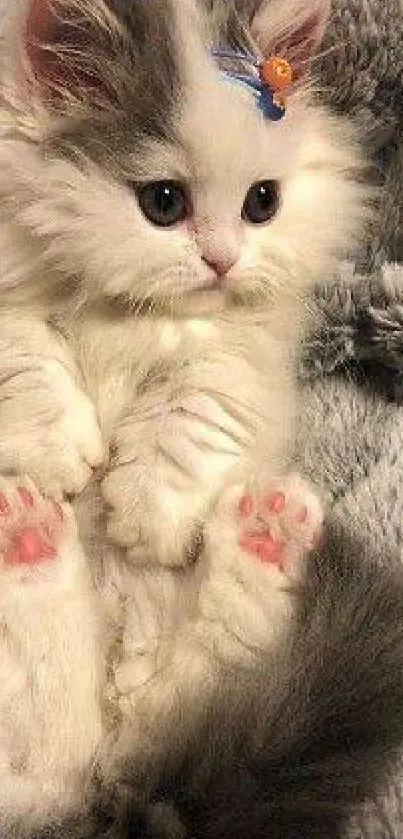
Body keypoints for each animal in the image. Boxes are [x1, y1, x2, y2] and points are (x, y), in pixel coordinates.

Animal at [0, 0, 368, 832]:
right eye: (163, 202)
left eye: (262, 202)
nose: (224, 260)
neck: (120, 305)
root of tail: (116, 788)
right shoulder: (9, 298)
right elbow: (28, 356)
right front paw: (56, 456)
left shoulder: (244, 345)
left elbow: (194, 401)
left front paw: (144, 511)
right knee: (58, 732)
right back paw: (27, 520)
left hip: (176, 687)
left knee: (188, 679)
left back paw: (267, 532)